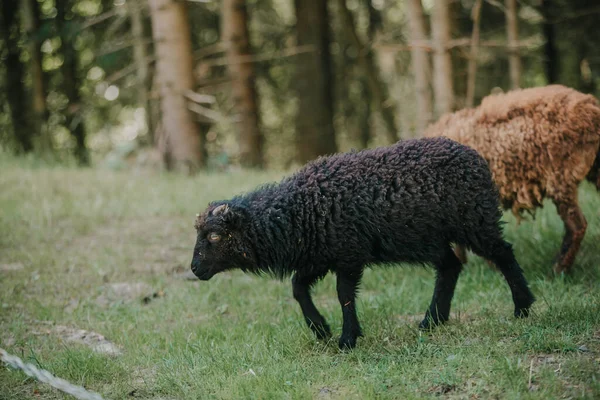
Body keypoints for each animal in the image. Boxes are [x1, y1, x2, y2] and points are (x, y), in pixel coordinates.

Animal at [190, 136, 532, 348]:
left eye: (214, 235)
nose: (194, 269)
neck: (298, 211)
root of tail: (475, 156)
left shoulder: (349, 252)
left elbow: (343, 295)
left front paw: (347, 339)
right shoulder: (319, 256)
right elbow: (298, 288)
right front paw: (321, 329)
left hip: (474, 220)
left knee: (503, 253)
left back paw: (523, 306)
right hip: (429, 237)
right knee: (450, 266)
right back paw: (432, 321)